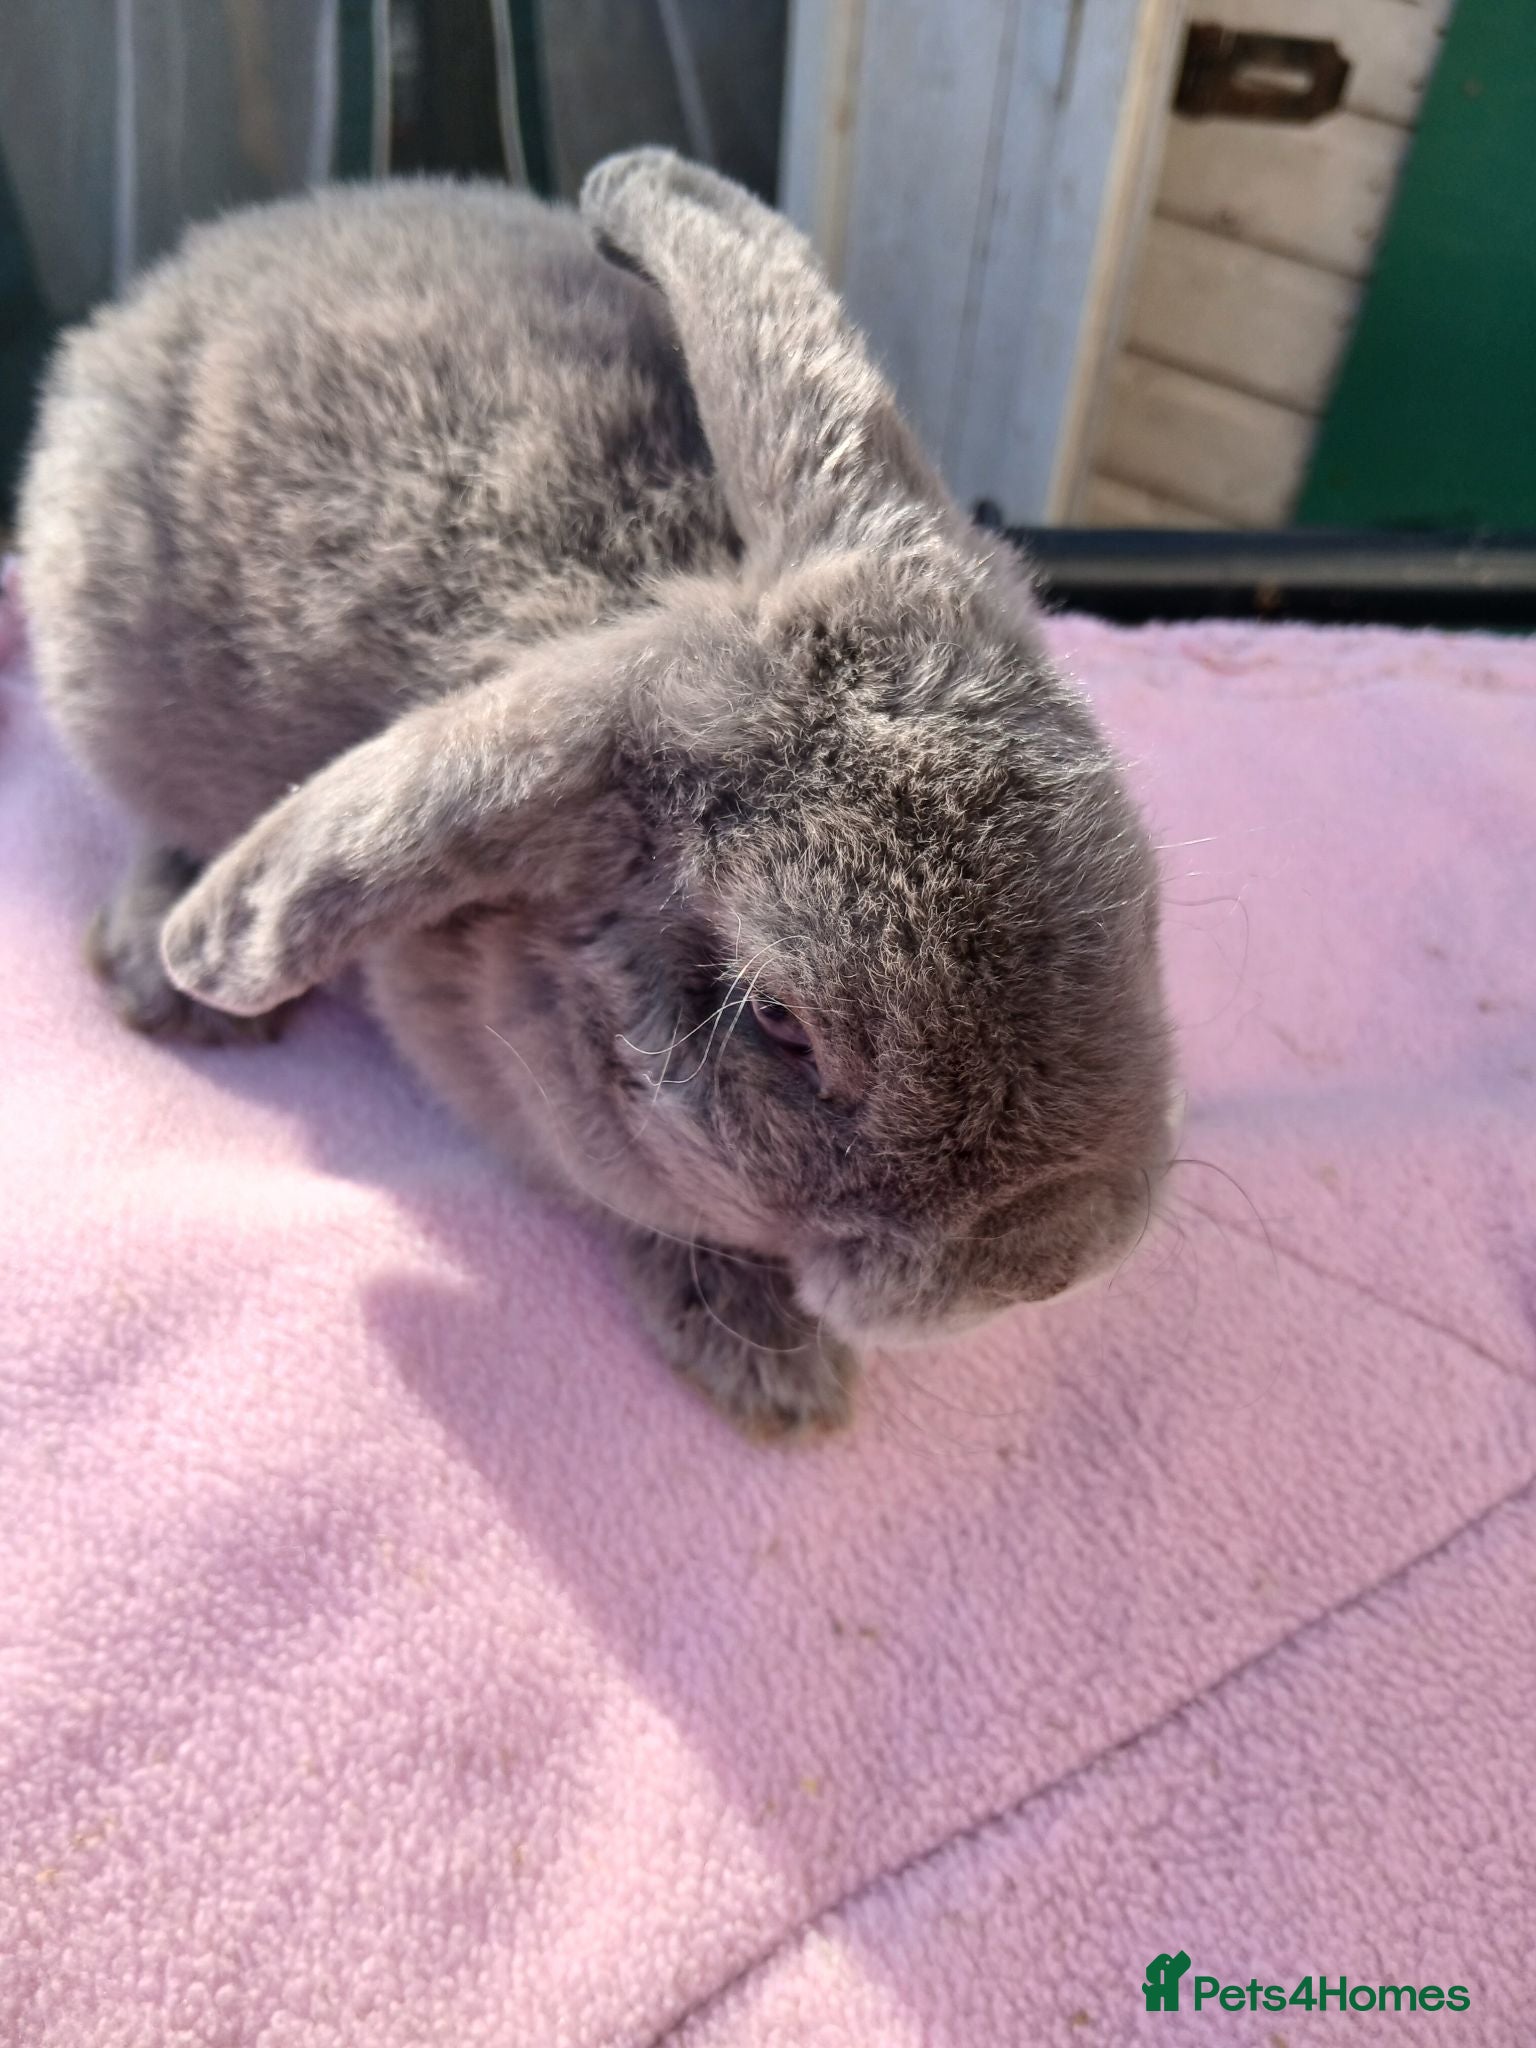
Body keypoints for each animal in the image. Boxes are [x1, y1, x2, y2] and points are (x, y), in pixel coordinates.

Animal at [17, 149, 1174, 1437]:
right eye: (781, 1022)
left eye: (1143, 905)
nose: (1052, 1256)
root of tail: (184, 270)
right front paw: (770, 1366)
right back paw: (170, 975)